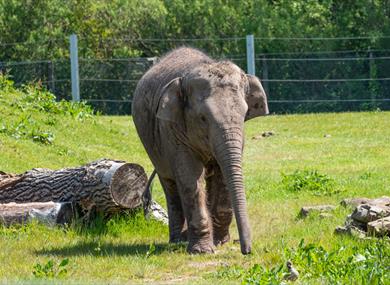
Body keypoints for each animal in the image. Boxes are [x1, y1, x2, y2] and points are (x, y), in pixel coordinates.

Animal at [132, 47, 268, 254]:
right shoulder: (172, 128)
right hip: (152, 145)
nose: (247, 251)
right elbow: (190, 177)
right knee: (170, 185)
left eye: (245, 114)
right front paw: (202, 250)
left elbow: (223, 175)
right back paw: (178, 240)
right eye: (203, 118)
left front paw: (220, 242)